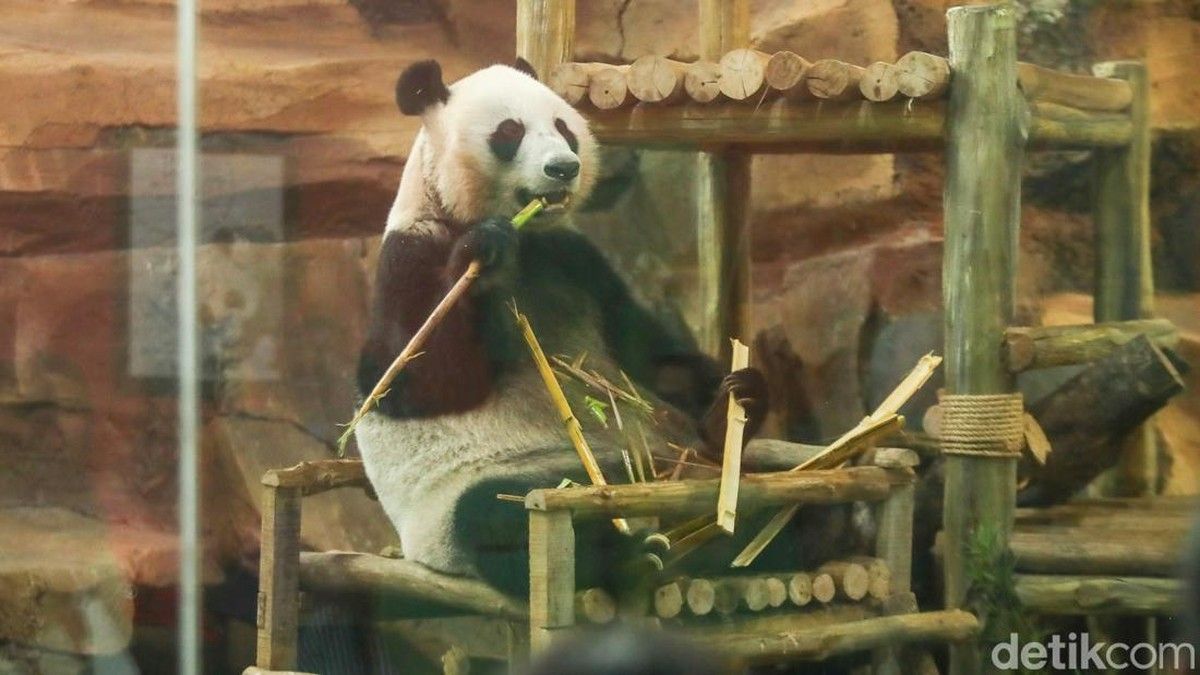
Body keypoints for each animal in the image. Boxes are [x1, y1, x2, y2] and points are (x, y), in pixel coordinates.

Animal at [353, 58, 771, 596]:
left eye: (564, 128)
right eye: (509, 132)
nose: (563, 167)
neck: (523, 239)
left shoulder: (573, 259)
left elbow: (646, 357)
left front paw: (737, 399)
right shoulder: (411, 253)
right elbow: (405, 381)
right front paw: (481, 254)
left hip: (679, 462)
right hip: (486, 491)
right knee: (493, 516)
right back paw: (632, 558)